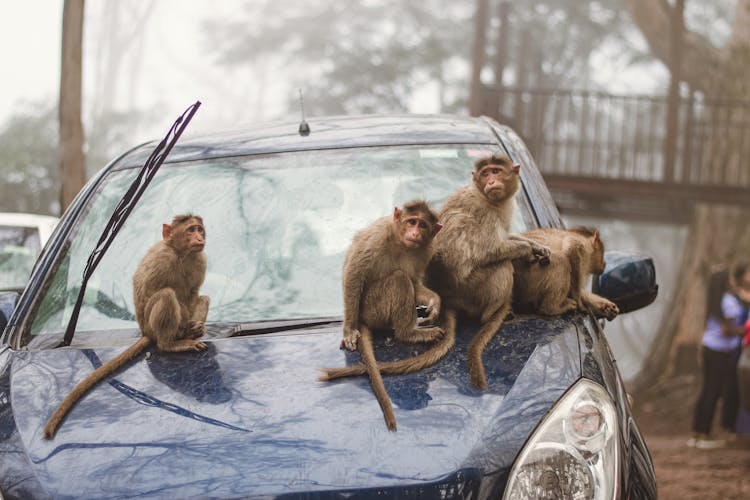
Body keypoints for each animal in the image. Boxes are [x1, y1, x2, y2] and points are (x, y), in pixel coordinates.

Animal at [43, 214, 210, 438]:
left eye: (199, 229)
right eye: (191, 230)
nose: (199, 237)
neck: (181, 254)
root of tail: (146, 332)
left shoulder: (200, 260)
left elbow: (193, 293)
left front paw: (194, 327)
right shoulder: (163, 258)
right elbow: (149, 290)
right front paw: (186, 327)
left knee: (203, 298)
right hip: (150, 324)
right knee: (166, 295)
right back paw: (171, 343)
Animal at [318, 199, 446, 430]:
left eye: (423, 225)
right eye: (411, 221)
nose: (415, 233)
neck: (401, 243)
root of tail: (362, 317)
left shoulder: (426, 250)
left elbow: (415, 282)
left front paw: (435, 302)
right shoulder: (376, 237)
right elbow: (354, 272)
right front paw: (348, 331)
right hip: (372, 308)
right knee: (399, 279)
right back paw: (408, 333)